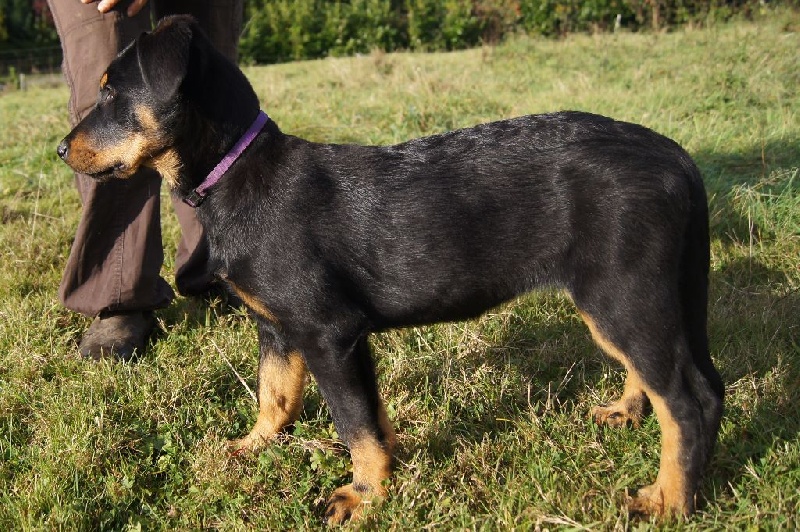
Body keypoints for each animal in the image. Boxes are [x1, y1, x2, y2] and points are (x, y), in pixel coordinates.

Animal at [57, 15, 724, 524]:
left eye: (113, 93)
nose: (60, 150)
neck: (238, 174)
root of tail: (676, 157)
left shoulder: (329, 333)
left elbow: (356, 425)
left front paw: (362, 497)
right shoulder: (280, 329)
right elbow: (278, 395)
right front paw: (251, 447)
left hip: (622, 291)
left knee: (689, 401)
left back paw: (669, 502)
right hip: (635, 296)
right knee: (666, 381)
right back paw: (628, 415)